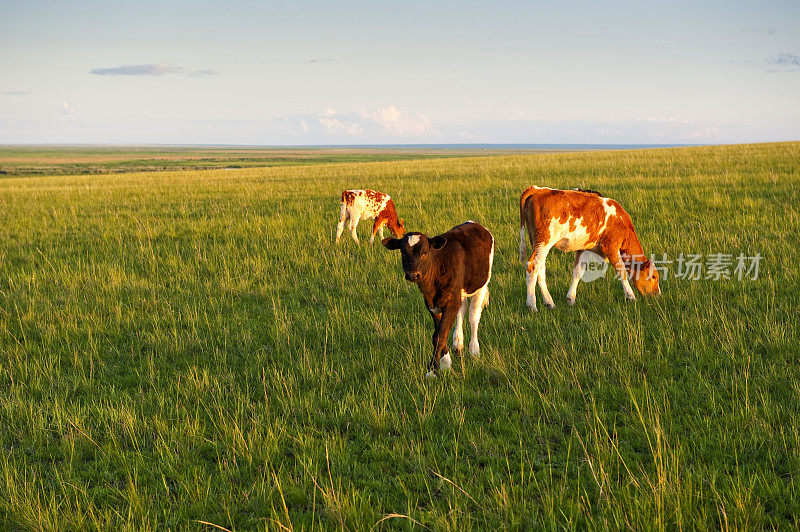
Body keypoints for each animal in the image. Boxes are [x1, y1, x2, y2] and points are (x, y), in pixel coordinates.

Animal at [382, 220, 494, 378]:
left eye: (425, 252)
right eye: (403, 252)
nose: (413, 275)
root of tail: (474, 223)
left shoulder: (451, 301)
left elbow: (440, 334)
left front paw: (432, 370)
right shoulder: (432, 304)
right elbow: (438, 333)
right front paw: (445, 362)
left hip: (481, 285)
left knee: (473, 316)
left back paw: (474, 350)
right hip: (460, 293)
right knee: (462, 311)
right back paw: (458, 343)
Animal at [516, 187, 660, 312]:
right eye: (653, 276)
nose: (657, 294)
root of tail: (538, 190)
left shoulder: (583, 249)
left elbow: (578, 272)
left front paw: (571, 298)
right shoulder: (611, 247)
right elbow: (622, 272)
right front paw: (631, 297)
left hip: (538, 243)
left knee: (540, 269)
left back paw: (549, 303)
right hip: (544, 242)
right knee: (532, 267)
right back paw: (532, 305)